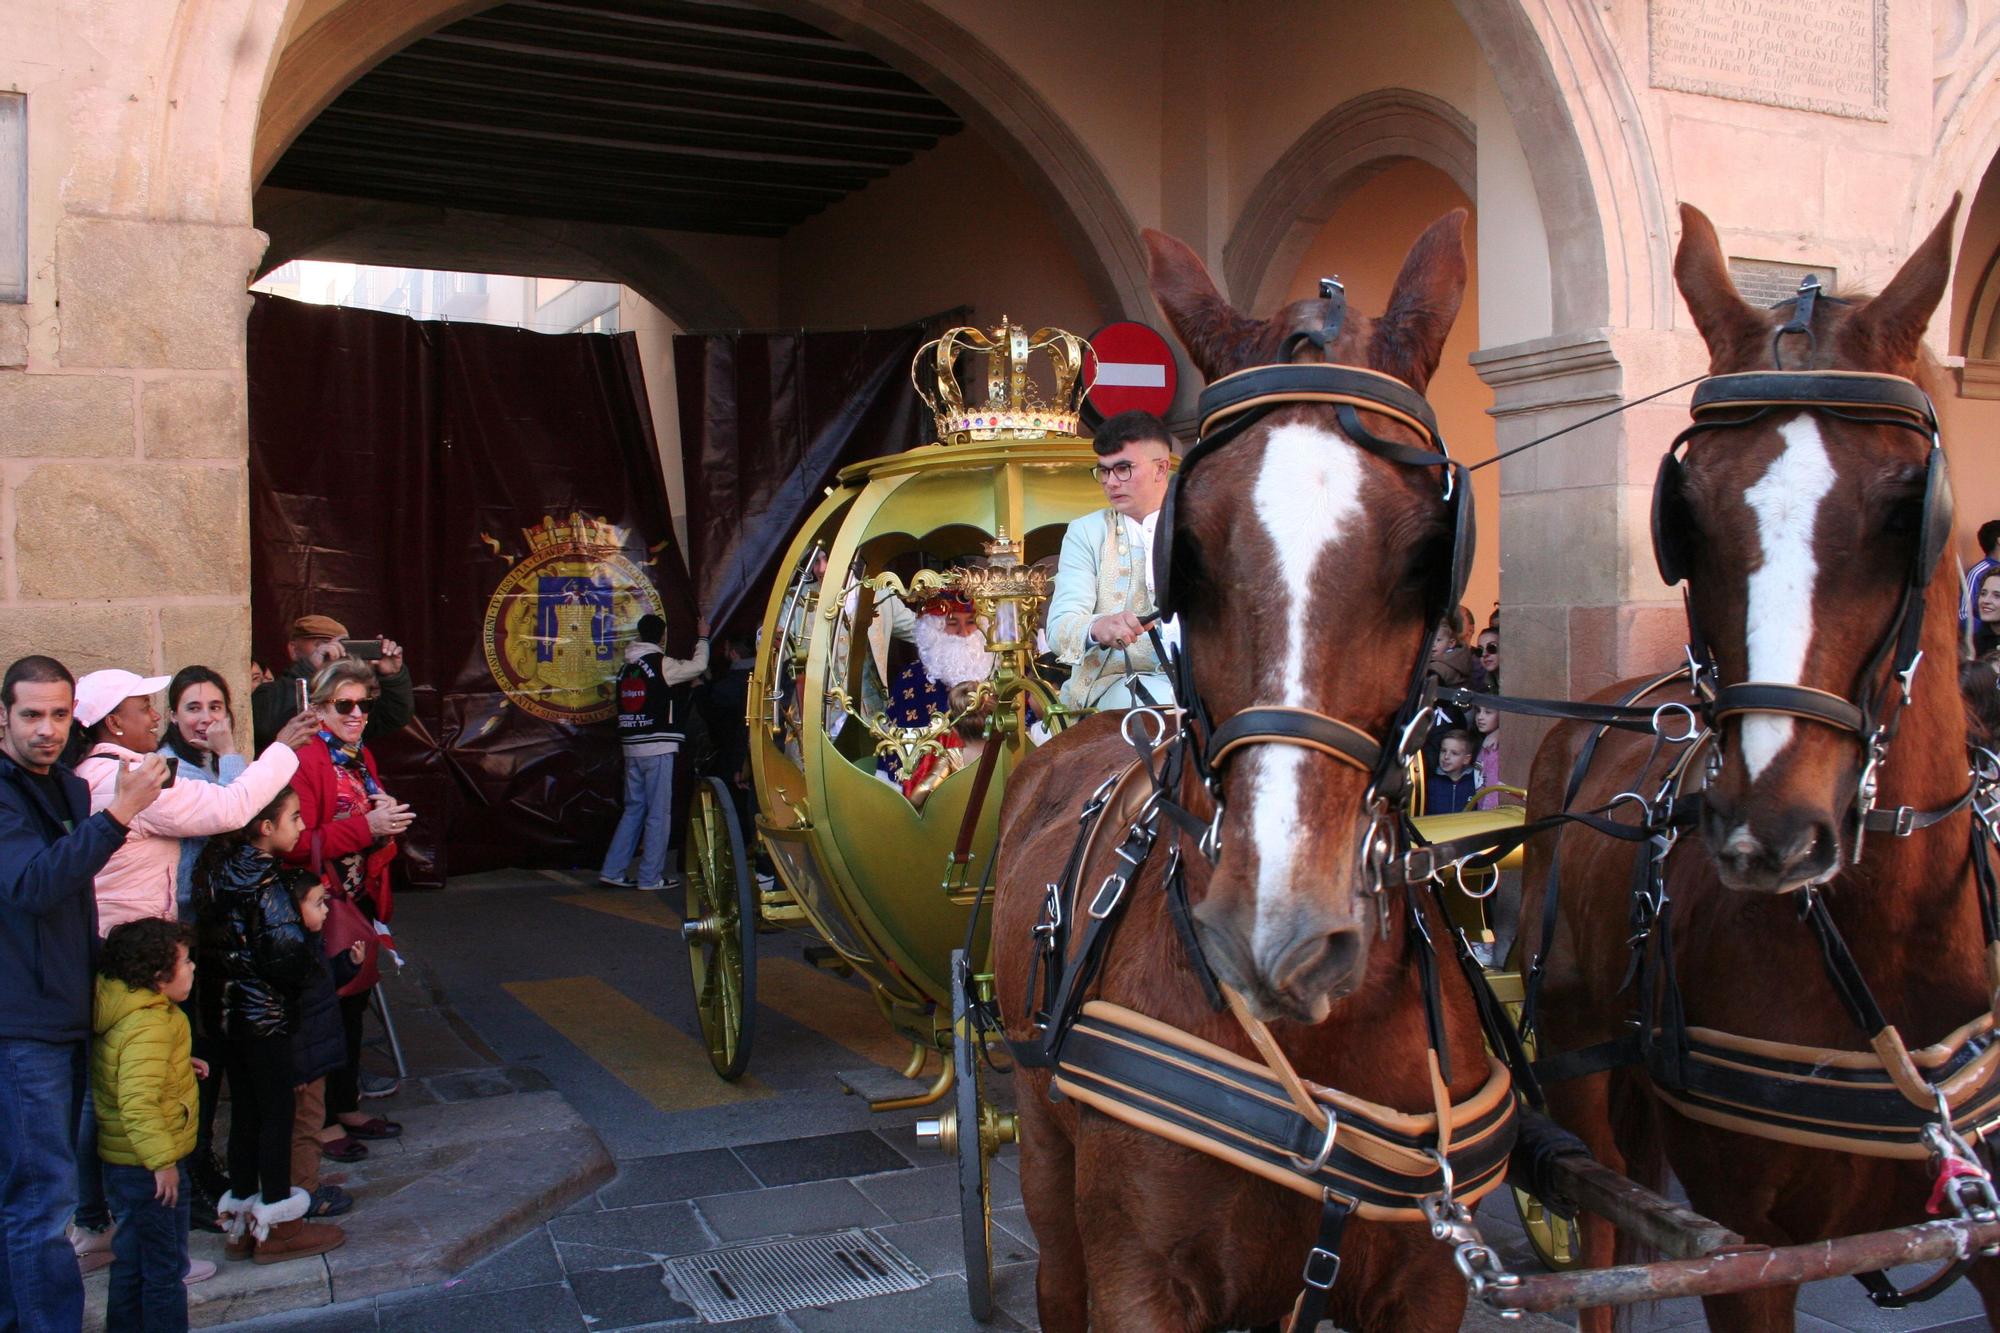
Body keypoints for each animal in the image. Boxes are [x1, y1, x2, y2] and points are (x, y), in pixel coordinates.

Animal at [992, 208, 1496, 1328]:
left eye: (1426, 551)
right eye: (1190, 550)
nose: (1279, 933)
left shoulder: (1429, 1284)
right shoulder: (1138, 1277)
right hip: (1043, 1158)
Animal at [1520, 200, 1992, 1328]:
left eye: (1908, 506)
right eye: (1685, 511)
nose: (1771, 828)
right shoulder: (1749, 1248)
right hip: (1579, 1076)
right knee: (1604, 1236)